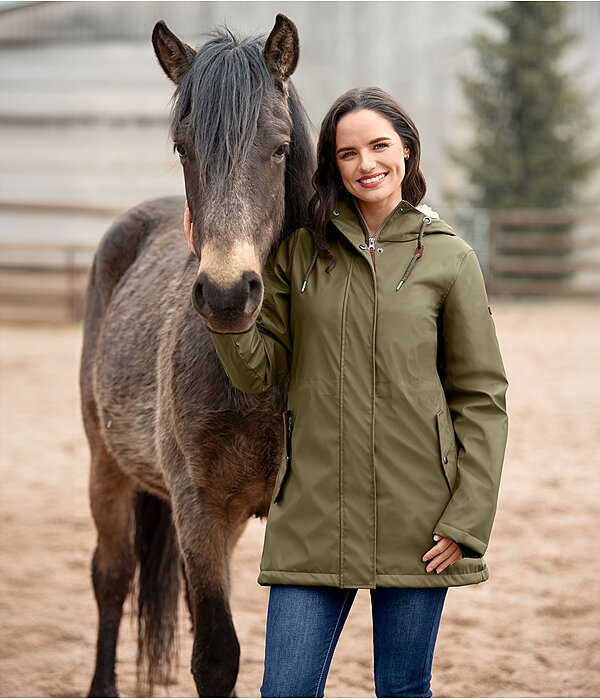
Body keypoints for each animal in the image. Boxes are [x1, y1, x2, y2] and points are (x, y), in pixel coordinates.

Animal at [81, 15, 316, 696]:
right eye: (184, 148)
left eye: (280, 148)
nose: (228, 293)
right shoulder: (200, 507)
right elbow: (215, 654)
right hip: (106, 464)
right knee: (112, 577)